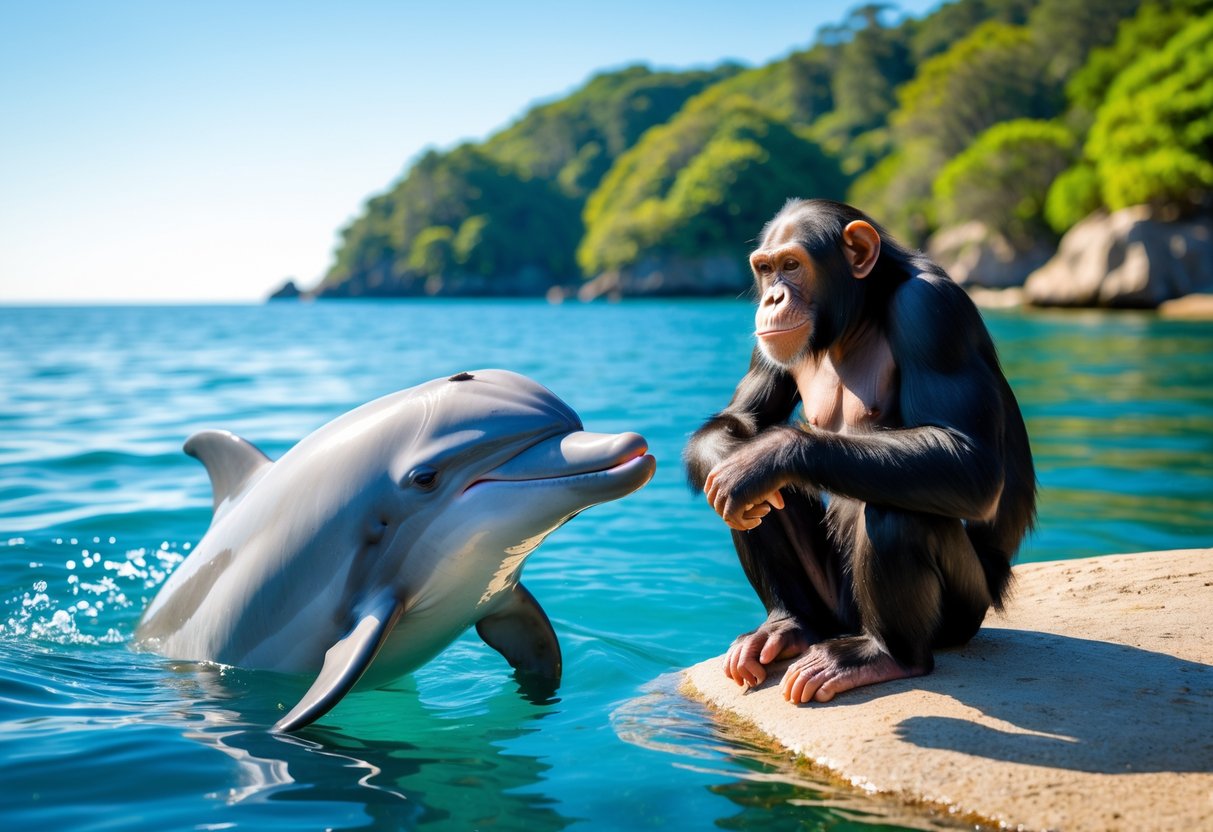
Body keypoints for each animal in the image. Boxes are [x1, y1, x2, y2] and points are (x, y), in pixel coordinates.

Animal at [683, 198, 1036, 704]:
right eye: (766, 269)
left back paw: (882, 656)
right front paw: (728, 457)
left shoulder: (933, 313)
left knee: (898, 513)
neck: (859, 315)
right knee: (770, 502)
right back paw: (787, 626)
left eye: (793, 265)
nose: (772, 299)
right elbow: (739, 418)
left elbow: (969, 460)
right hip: (831, 607)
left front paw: (761, 458)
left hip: (963, 615)